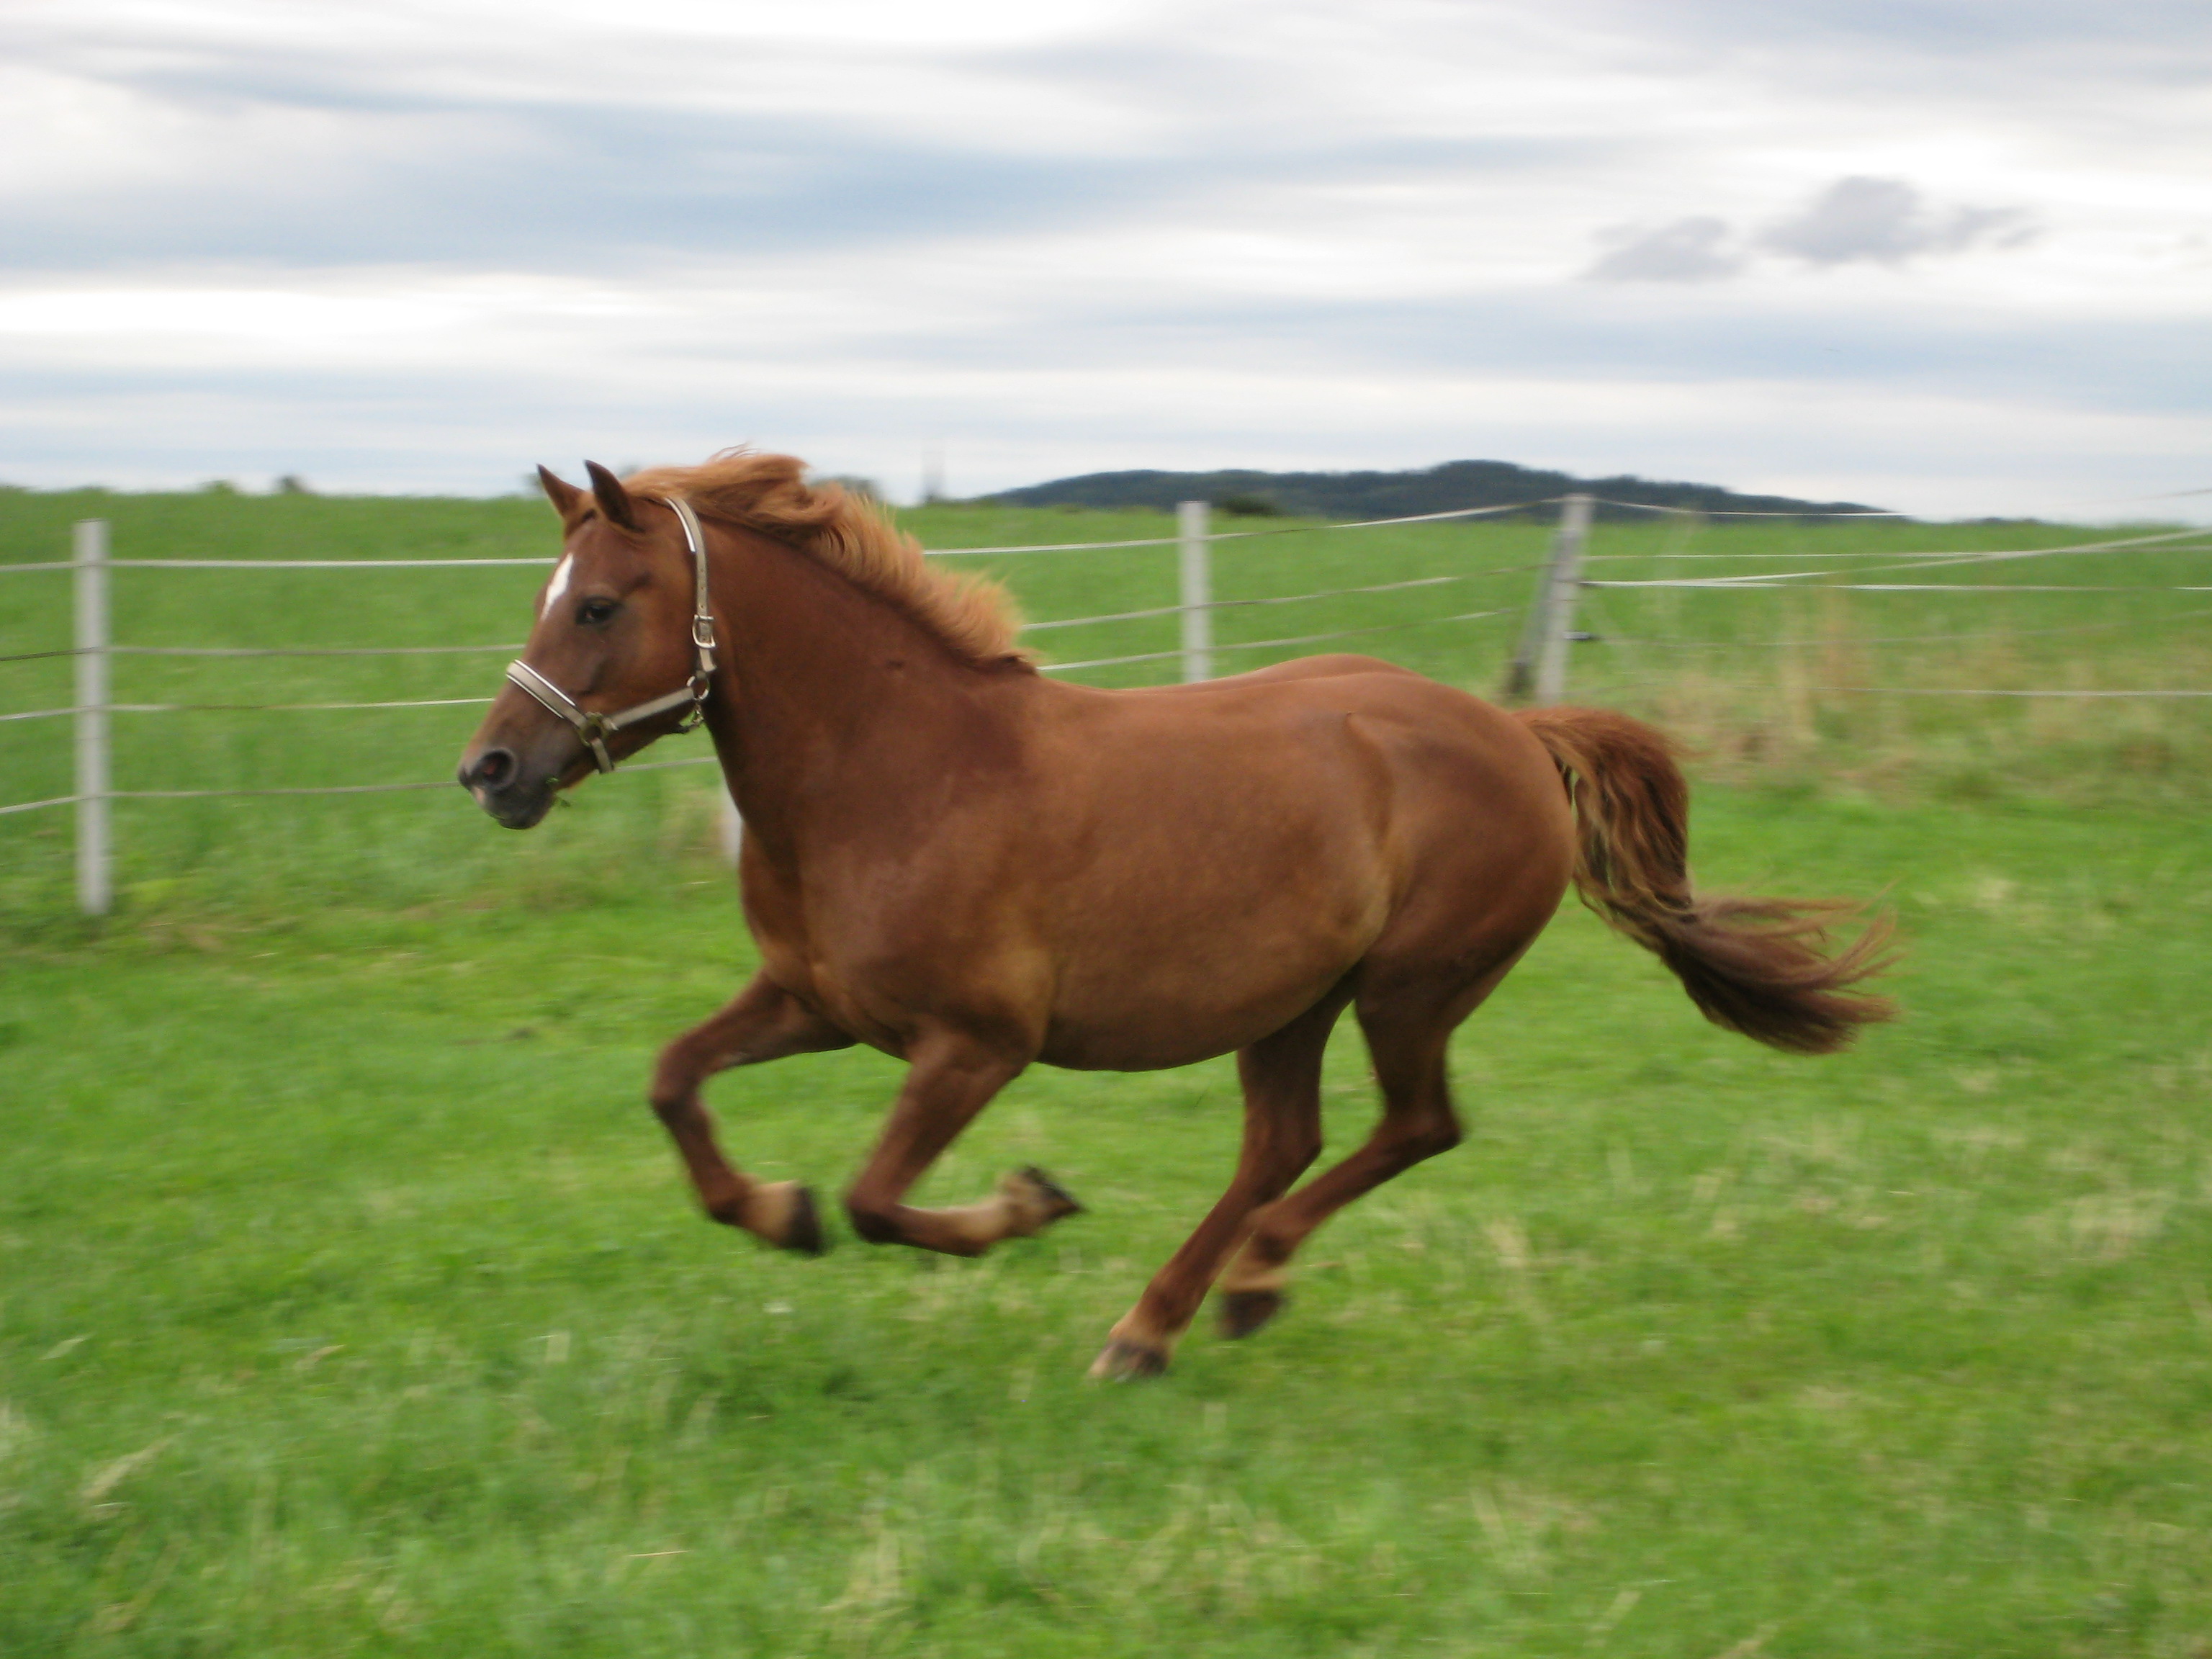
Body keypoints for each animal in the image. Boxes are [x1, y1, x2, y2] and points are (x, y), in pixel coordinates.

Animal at [457, 453, 1892, 1378]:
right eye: (543, 597)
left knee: (1410, 1127)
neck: (894, 772)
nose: (491, 770)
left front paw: (1022, 1204)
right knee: (1289, 1141)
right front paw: (774, 1211)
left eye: (599, 603)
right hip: (1294, 1001)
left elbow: (877, 1198)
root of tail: (1516, 732)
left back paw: (1206, 1300)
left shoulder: (976, 1044)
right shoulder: (816, 1003)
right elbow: (673, 1081)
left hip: (1410, 987)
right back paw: (1178, 1318)